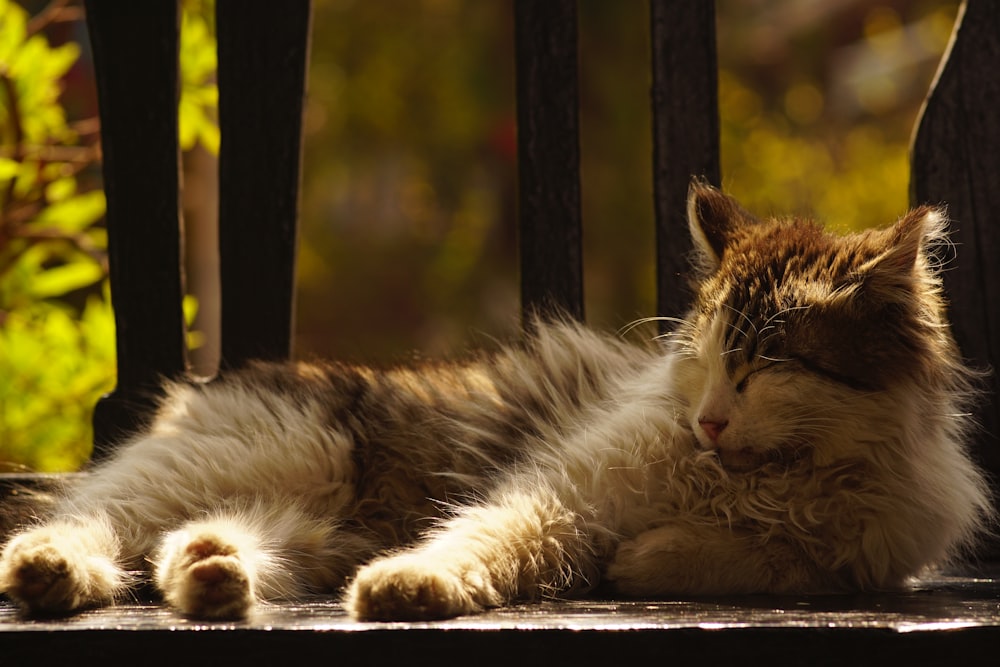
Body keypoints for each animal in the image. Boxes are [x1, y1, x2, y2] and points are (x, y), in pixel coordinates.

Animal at [0, 183, 992, 620]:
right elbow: (484, 539)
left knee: (182, 544)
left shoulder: (864, 554)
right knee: (88, 522)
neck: (758, 477)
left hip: (291, 519)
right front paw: (410, 584)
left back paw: (211, 576)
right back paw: (52, 572)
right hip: (268, 455)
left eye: (767, 366)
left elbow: (773, 558)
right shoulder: (560, 493)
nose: (710, 419)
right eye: (708, 357)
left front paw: (649, 558)